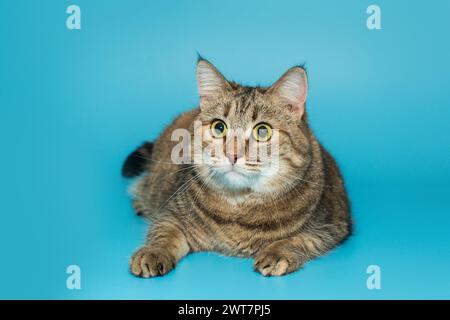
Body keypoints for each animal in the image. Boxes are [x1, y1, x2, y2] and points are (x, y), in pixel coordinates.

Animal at [122, 58, 352, 278]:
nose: (232, 154)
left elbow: (298, 239)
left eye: (262, 131)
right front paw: (152, 252)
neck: (239, 208)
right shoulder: (172, 215)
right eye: (219, 127)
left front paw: (276, 252)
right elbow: (163, 233)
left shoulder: (331, 226)